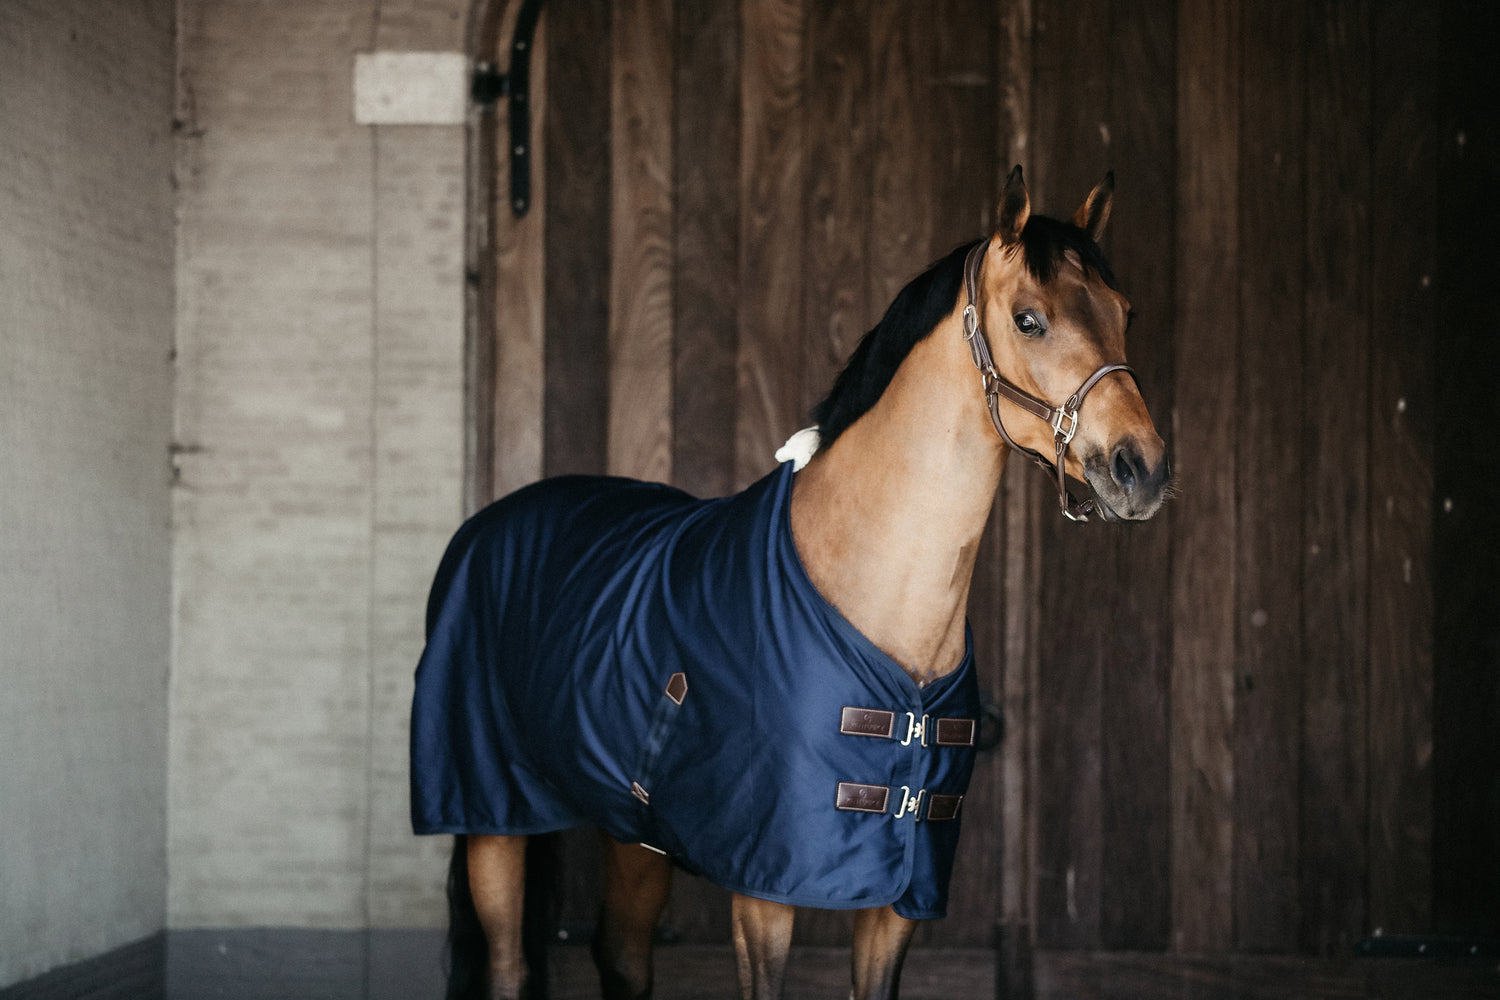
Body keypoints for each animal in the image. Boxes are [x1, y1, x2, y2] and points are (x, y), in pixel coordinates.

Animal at [410, 165, 1170, 1000]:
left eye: (1124, 312)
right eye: (1030, 320)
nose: (1142, 468)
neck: (871, 589)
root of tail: (495, 521)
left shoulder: (900, 898)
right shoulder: (764, 890)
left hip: (633, 836)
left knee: (623, 958)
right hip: (492, 824)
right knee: (509, 964)